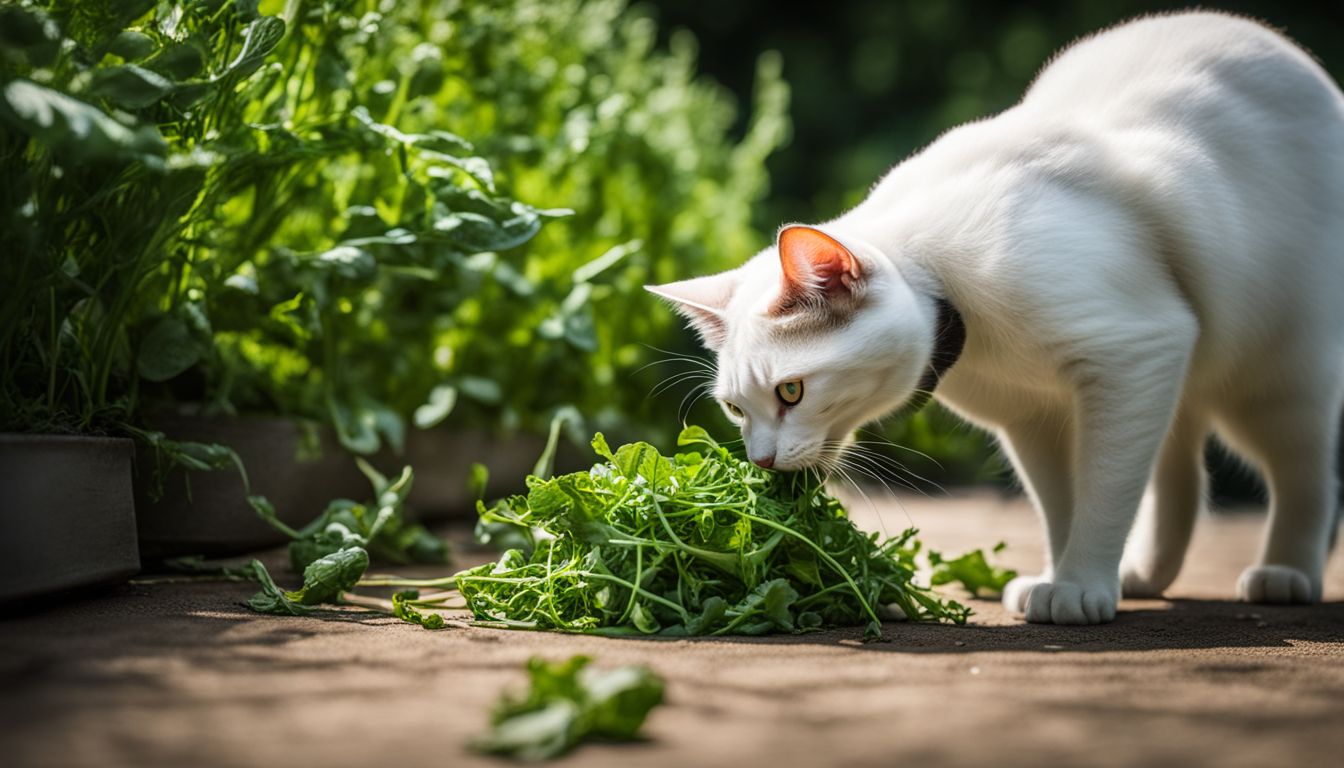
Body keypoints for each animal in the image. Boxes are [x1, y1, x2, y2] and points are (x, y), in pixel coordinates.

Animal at [645, 10, 1338, 624]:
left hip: (1271, 379)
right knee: (1179, 468)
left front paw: (1081, 587)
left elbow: (1104, 489)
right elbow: (1062, 503)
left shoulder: (1136, 349)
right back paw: (1144, 573)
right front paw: (1067, 577)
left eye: (791, 391)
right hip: (1181, 377)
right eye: (735, 408)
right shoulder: (1036, 413)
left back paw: (1286, 574)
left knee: (1304, 475)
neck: (945, 280)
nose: (759, 462)